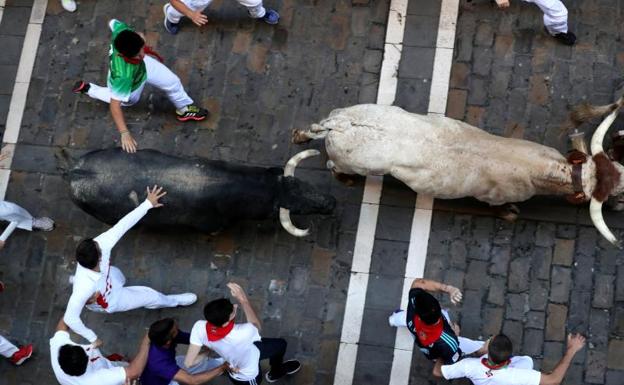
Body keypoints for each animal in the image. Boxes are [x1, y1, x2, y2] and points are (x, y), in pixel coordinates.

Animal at [292, 103, 624, 246]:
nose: (620, 207)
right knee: (334, 168)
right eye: (616, 194)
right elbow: (505, 211)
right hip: (355, 163)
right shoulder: (493, 198)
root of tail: (338, 125)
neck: (538, 169)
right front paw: (510, 213)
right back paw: (347, 179)